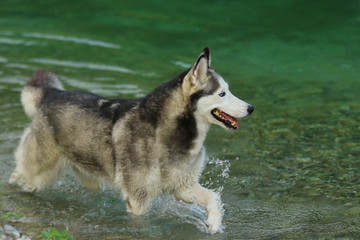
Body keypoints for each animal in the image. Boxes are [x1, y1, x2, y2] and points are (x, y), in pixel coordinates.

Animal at [8, 47, 253, 233]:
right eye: (222, 94)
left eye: (228, 91)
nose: (251, 108)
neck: (168, 134)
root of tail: (52, 94)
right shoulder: (138, 199)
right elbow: (141, 222)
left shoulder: (183, 186)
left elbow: (214, 198)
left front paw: (214, 223)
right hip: (36, 174)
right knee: (15, 177)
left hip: (89, 175)